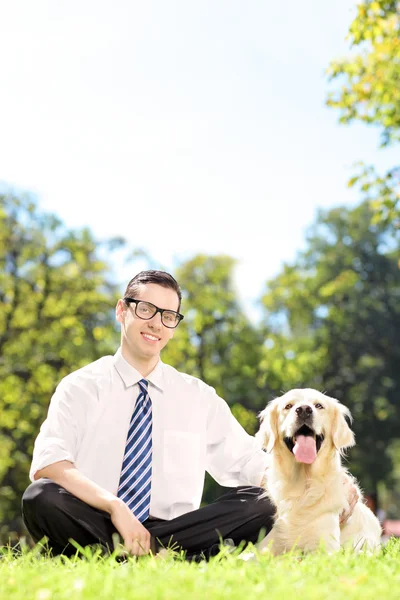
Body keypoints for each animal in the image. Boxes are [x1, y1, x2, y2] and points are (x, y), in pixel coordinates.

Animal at [256, 390, 382, 552]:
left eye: (319, 405)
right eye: (288, 406)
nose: (304, 410)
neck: (303, 485)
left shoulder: (326, 547)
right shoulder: (268, 543)